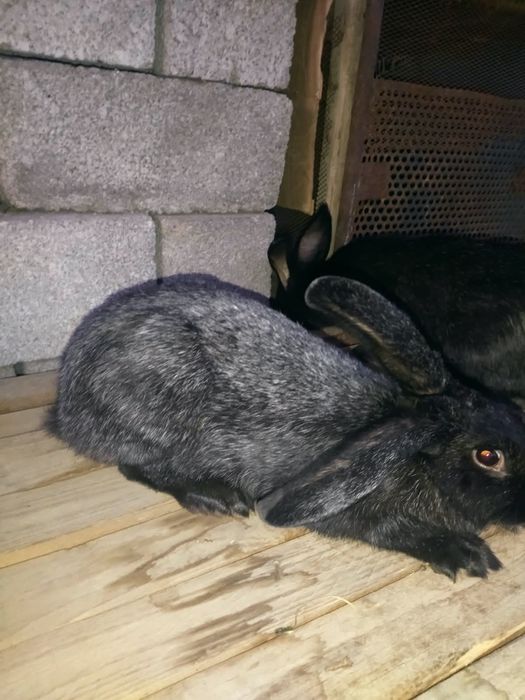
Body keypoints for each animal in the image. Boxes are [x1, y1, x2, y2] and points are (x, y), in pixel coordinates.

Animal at [46, 273, 525, 579]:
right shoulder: (359, 511)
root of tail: (66, 406)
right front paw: (468, 555)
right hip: (154, 414)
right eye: (488, 456)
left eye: (515, 413)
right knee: (135, 466)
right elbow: (393, 529)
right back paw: (214, 497)